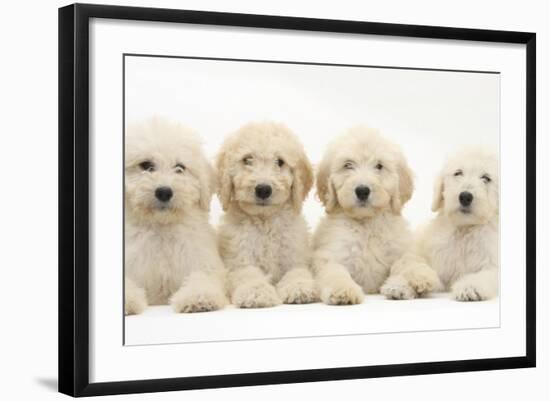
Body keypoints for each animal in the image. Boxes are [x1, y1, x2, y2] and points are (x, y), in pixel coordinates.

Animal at [125, 117, 229, 314]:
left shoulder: (202, 261)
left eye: (180, 167)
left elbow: (202, 278)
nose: (164, 192)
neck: (162, 229)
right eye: (146, 165)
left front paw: (199, 298)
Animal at [217, 120, 316, 308]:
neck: (265, 222)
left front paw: (299, 288)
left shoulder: (295, 256)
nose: (263, 189)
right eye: (247, 160)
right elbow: (248, 274)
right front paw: (256, 292)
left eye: (280, 162)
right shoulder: (238, 260)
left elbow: (297, 272)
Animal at [312, 126, 416, 304]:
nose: (362, 191)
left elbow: (406, 264)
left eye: (379, 166)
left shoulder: (399, 250)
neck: (366, 223)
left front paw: (400, 286)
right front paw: (343, 290)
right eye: (347, 165)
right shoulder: (331, 254)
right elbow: (335, 271)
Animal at [384, 147, 500, 300]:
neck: (464, 229)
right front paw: (402, 284)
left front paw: (469, 287)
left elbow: (484, 275)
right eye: (458, 173)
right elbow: (417, 268)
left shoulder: (492, 263)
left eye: (486, 178)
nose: (465, 197)